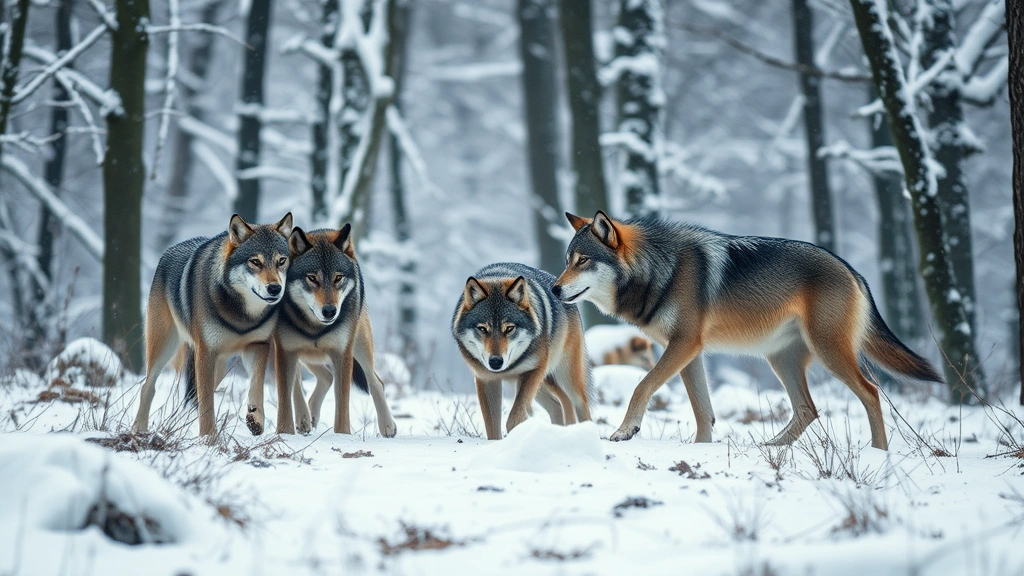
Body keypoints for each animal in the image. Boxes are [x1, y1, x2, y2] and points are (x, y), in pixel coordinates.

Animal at [133, 213, 293, 437]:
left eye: (281, 261)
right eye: (255, 262)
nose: (275, 289)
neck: (241, 316)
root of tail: (168, 251)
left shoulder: (258, 345)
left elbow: (257, 382)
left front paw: (255, 419)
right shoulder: (205, 352)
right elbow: (207, 403)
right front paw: (209, 438)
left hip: (218, 366)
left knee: (191, 398)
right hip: (165, 349)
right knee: (148, 386)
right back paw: (138, 429)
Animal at [271, 225, 397, 437]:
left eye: (338, 278)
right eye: (312, 278)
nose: (329, 311)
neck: (315, 327)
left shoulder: (342, 353)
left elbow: (342, 406)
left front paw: (342, 436)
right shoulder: (285, 350)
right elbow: (285, 401)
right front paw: (284, 434)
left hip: (360, 347)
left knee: (375, 382)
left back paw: (387, 426)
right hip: (301, 353)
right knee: (317, 378)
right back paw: (306, 418)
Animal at [452, 262, 592, 440]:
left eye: (509, 328)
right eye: (483, 329)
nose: (495, 362)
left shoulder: (533, 371)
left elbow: (515, 417)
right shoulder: (486, 379)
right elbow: (492, 427)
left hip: (564, 378)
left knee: (580, 404)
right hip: (542, 385)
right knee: (557, 405)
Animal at [553, 211, 942, 450]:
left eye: (583, 261)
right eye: (567, 261)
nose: (554, 289)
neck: (660, 271)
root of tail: (853, 271)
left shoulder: (683, 345)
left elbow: (641, 386)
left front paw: (624, 431)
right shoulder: (689, 351)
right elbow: (702, 409)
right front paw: (701, 449)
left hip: (828, 352)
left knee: (871, 393)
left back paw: (878, 451)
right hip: (780, 360)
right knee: (809, 409)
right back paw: (771, 447)